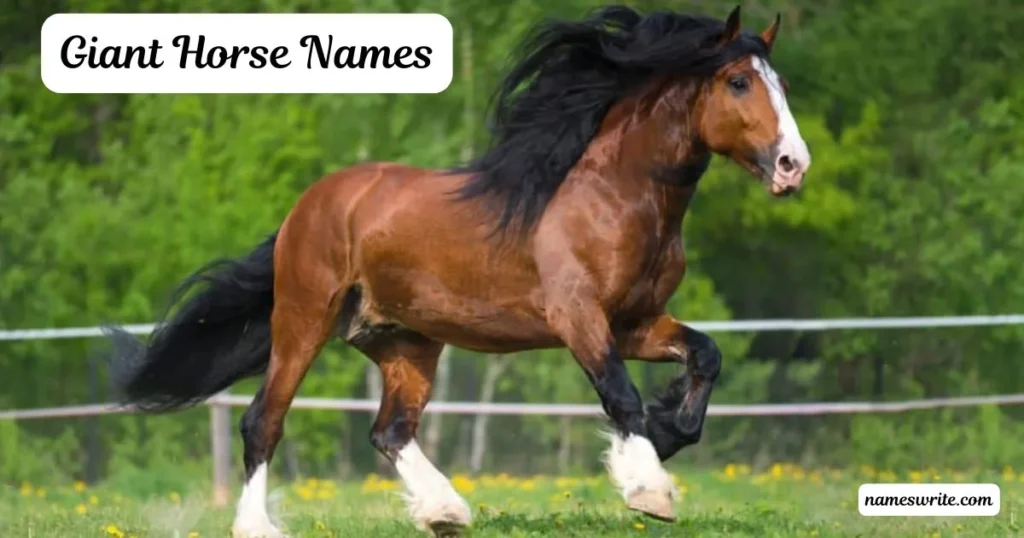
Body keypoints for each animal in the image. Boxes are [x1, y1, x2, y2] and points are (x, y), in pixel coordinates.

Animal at [105, 4, 810, 537]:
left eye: (780, 84)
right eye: (739, 83)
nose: (792, 165)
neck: (612, 195)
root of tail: (309, 205)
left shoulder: (635, 322)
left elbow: (706, 357)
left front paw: (664, 437)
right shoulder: (578, 317)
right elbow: (620, 394)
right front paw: (648, 488)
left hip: (406, 340)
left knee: (390, 430)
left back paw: (444, 511)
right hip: (303, 321)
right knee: (264, 421)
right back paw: (259, 527)